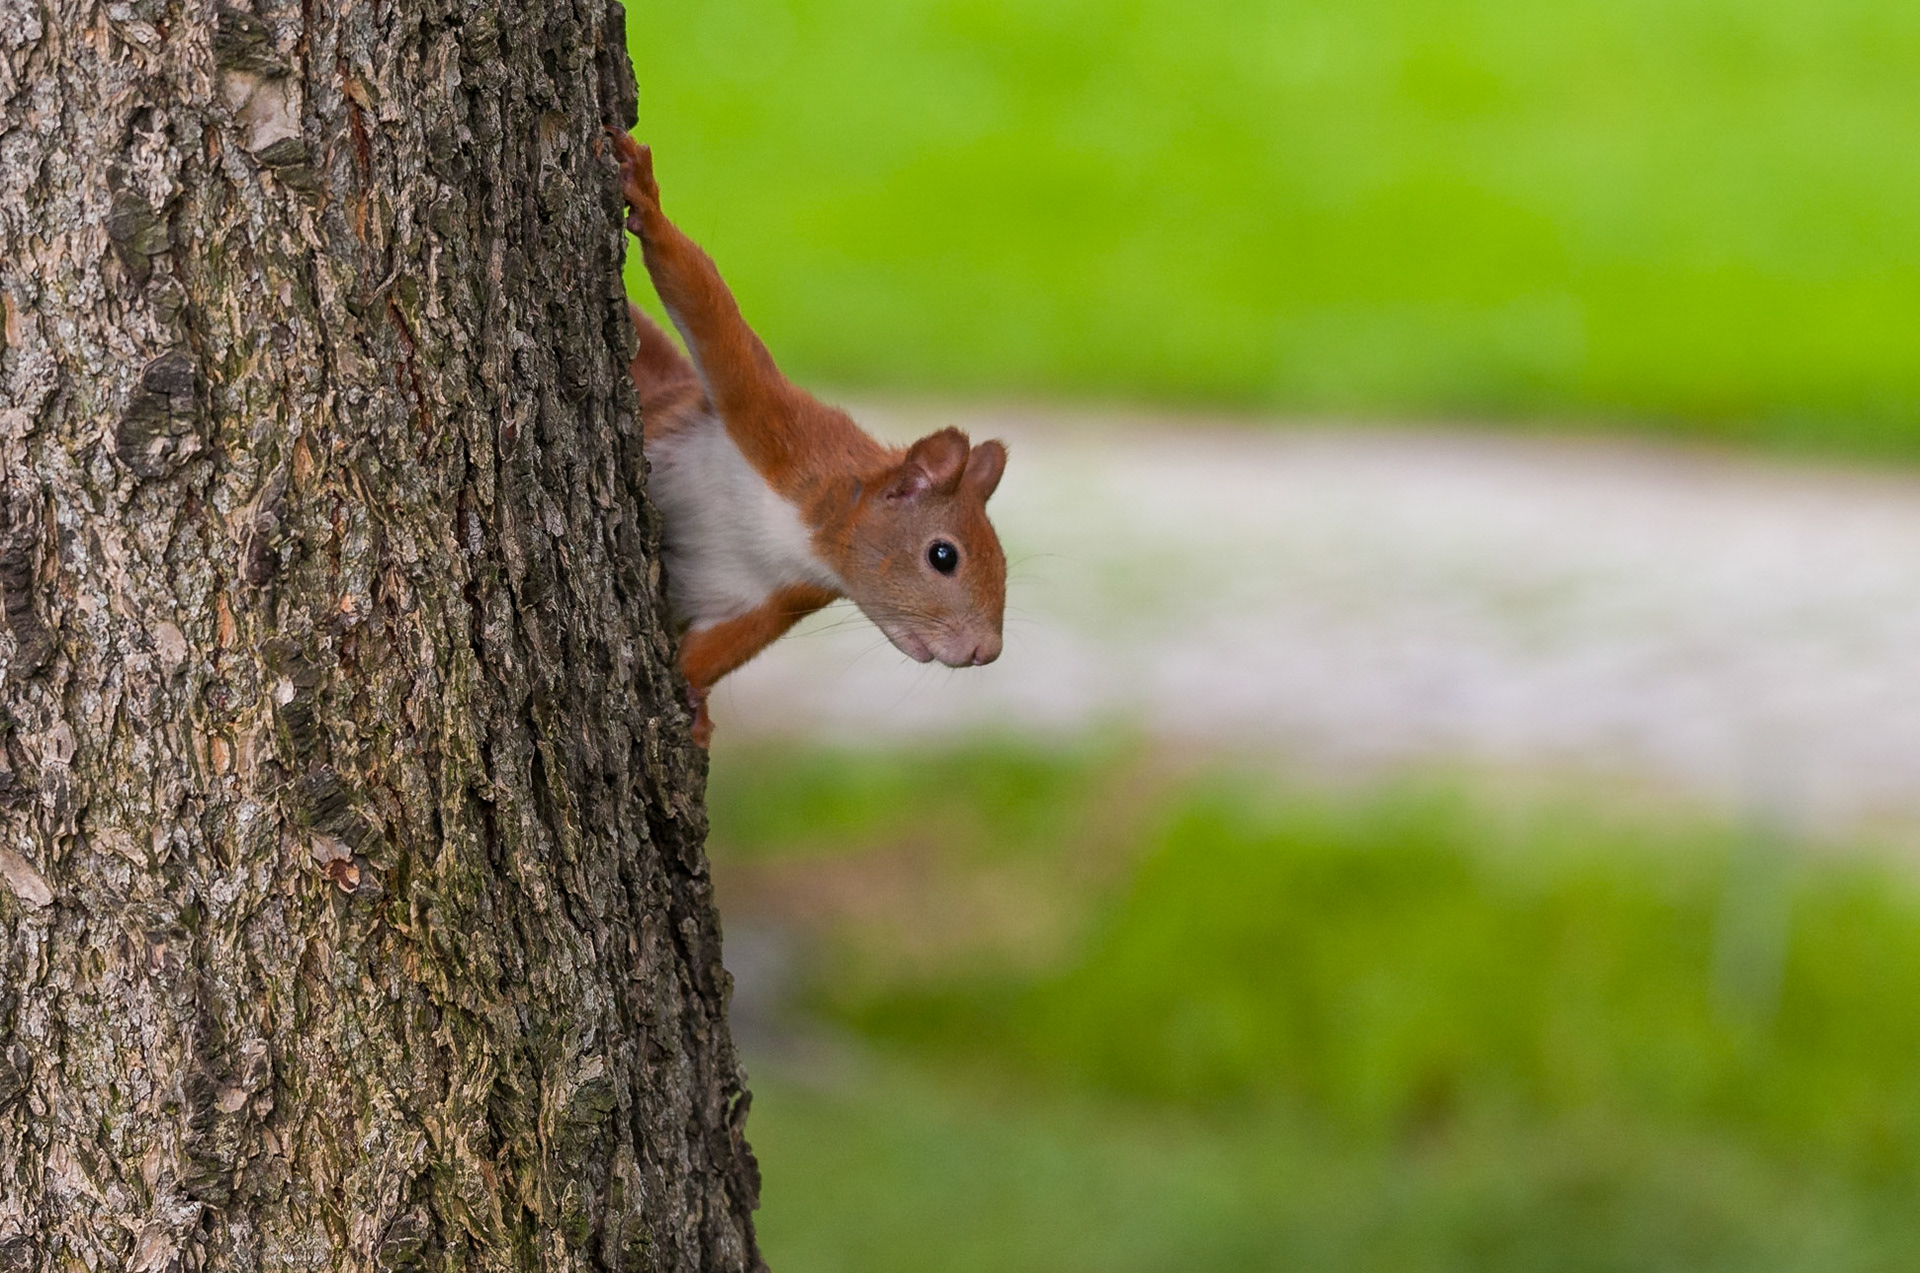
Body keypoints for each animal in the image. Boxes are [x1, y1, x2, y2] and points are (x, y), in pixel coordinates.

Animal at [608, 130, 1008, 747]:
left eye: (1005, 563)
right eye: (944, 556)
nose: (986, 651)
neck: (798, 535)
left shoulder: (778, 597)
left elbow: (717, 650)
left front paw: (697, 706)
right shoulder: (771, 423)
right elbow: (708, 307)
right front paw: (647, 203)